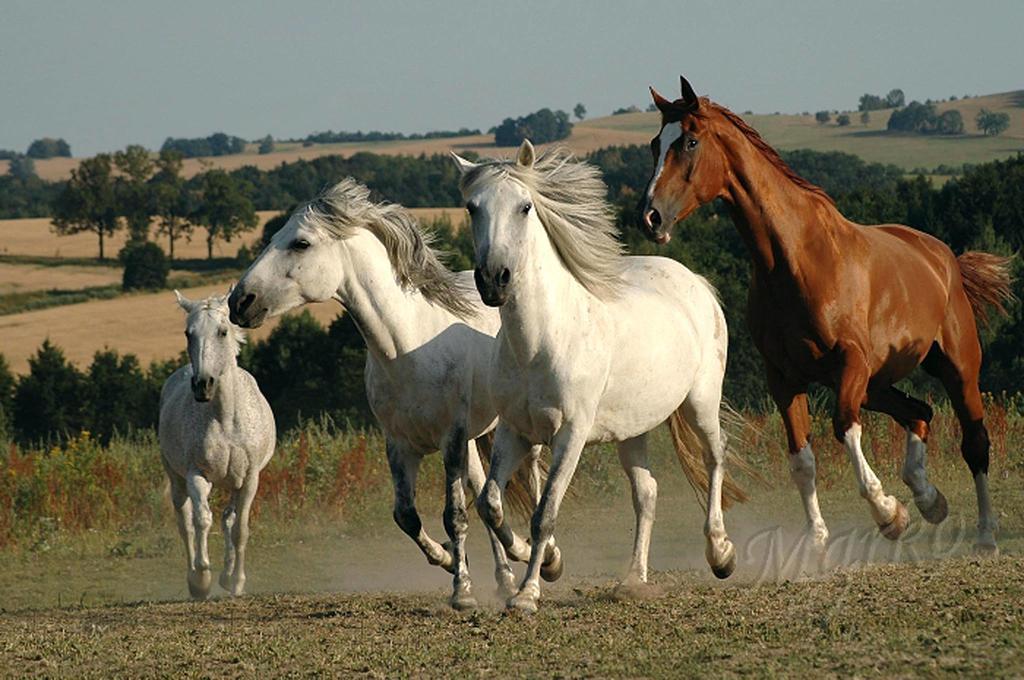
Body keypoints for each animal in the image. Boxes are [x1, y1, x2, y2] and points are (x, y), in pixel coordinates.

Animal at [157, 288, 274, 598]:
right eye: (188, 333)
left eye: (222, 331)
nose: (202, 385)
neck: (225, 418)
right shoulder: (196, 475)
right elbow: (201, 520)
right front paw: (202, 578)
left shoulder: (249, 479)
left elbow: (240, 528)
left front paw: (236, 581)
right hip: (177, 478)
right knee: (185, 521)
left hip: (233, 482)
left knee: (229, 519)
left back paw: (227, 575)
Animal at [228, 178, 557, 606]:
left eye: (300, 243)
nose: (239, 301)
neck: (408, 347)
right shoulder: (400, 444)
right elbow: (407, 516)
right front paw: (448, 561)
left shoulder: (450, 441)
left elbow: (454, 515)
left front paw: (462, 592)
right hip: (477, 435)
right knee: (481, 486)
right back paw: (504, 575)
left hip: (511, 427)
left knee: (530, 479)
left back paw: (545, 558)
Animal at [452, 140, 749, 614]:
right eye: (471, 207)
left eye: (524, 207)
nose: (494, 280)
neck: (541, 340)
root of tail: (695, 281)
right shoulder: (515, 432)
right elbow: (490, 504)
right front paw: (543, 561)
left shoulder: (570, 435)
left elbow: (545, 513)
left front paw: (528, 594)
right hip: (633, 429)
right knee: (647, 493)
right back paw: (633, 579)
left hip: (700, 403)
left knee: (715, 456)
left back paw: (721, 553)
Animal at [638, 75, 1015, 553]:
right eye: (655, 143)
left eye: (689, 141)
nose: (650, 217)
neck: (796, 260)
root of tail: (944, 257)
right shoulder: (784, 378)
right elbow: (802, 459)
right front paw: (817, 539)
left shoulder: (849, 364)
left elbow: (845, 430)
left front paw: (888, 513)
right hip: (877, 384)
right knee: (920, 413)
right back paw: (929, 499)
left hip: (955, 368)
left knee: (974, 442)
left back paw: (984, 534)